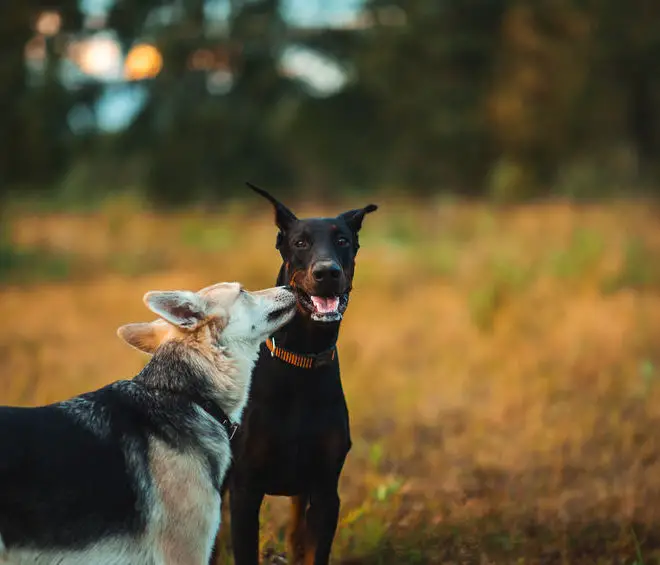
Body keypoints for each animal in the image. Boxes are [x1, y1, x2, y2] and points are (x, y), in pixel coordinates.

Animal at [222, 185, 376, 564]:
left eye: (343, 240)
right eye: (300, 242)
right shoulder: (245, 490)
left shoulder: (324, 489)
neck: (301, 362)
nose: (327, 272)